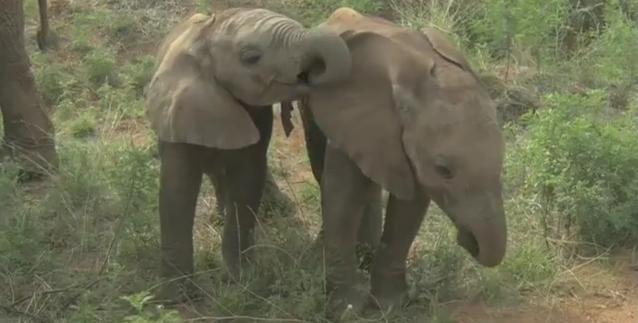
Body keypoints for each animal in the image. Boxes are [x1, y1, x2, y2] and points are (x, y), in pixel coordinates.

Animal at [146, 6, 352, 302]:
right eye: (251, 58)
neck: (207, 36)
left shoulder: (254, 115)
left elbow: (247, 180)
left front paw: (240, 281)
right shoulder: (177, 111)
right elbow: (177, 188)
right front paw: (177, 297)